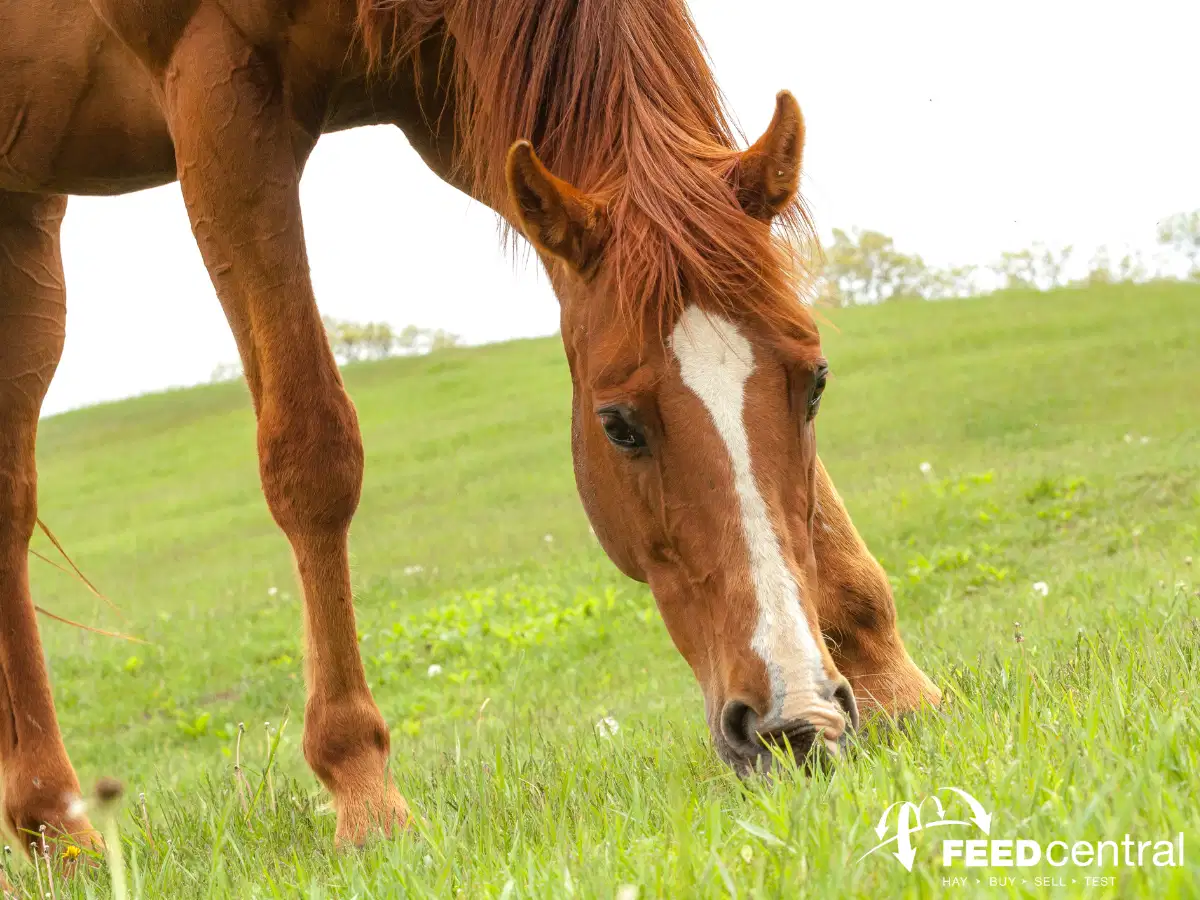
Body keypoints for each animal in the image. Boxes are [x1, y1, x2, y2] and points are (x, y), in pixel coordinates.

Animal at [0, 0, 936, 854]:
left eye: (815, 384)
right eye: (618, 426)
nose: (790, 723)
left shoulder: (464, 112)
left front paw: (891, 683)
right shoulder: (218, 96)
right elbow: (312, 449)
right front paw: (362, 788)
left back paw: (51, 824)